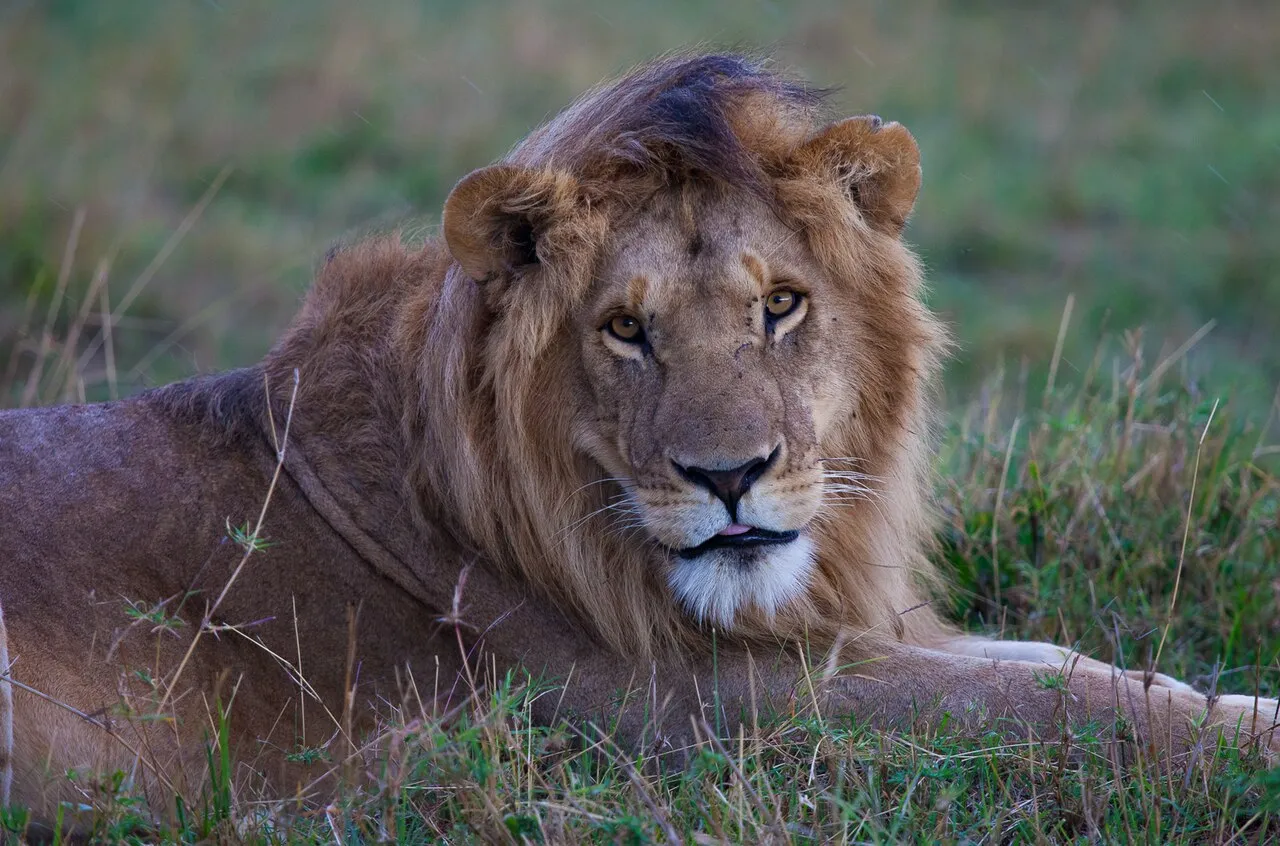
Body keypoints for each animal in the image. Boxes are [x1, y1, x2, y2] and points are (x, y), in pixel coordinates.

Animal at [1, 53, 1275, 828]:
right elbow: (1039, 706)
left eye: (779, 307)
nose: (730, 477)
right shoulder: (669, 713)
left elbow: (1050, 662)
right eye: (624, 329)